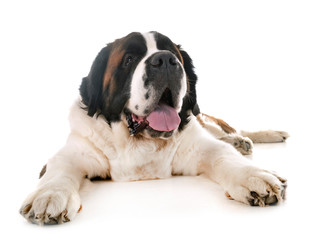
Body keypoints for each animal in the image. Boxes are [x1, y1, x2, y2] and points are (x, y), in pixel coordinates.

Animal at [19, 31, 288, 225]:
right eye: (129, 59)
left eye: (174, 54)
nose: (166, 60)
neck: (139, 142)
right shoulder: (73, 153)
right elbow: (60, 171)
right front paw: (49, 197)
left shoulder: (197, 144)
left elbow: (222, 154)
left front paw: (254, 176)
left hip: (205, 119)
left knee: (228, 130)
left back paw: (253, 138)